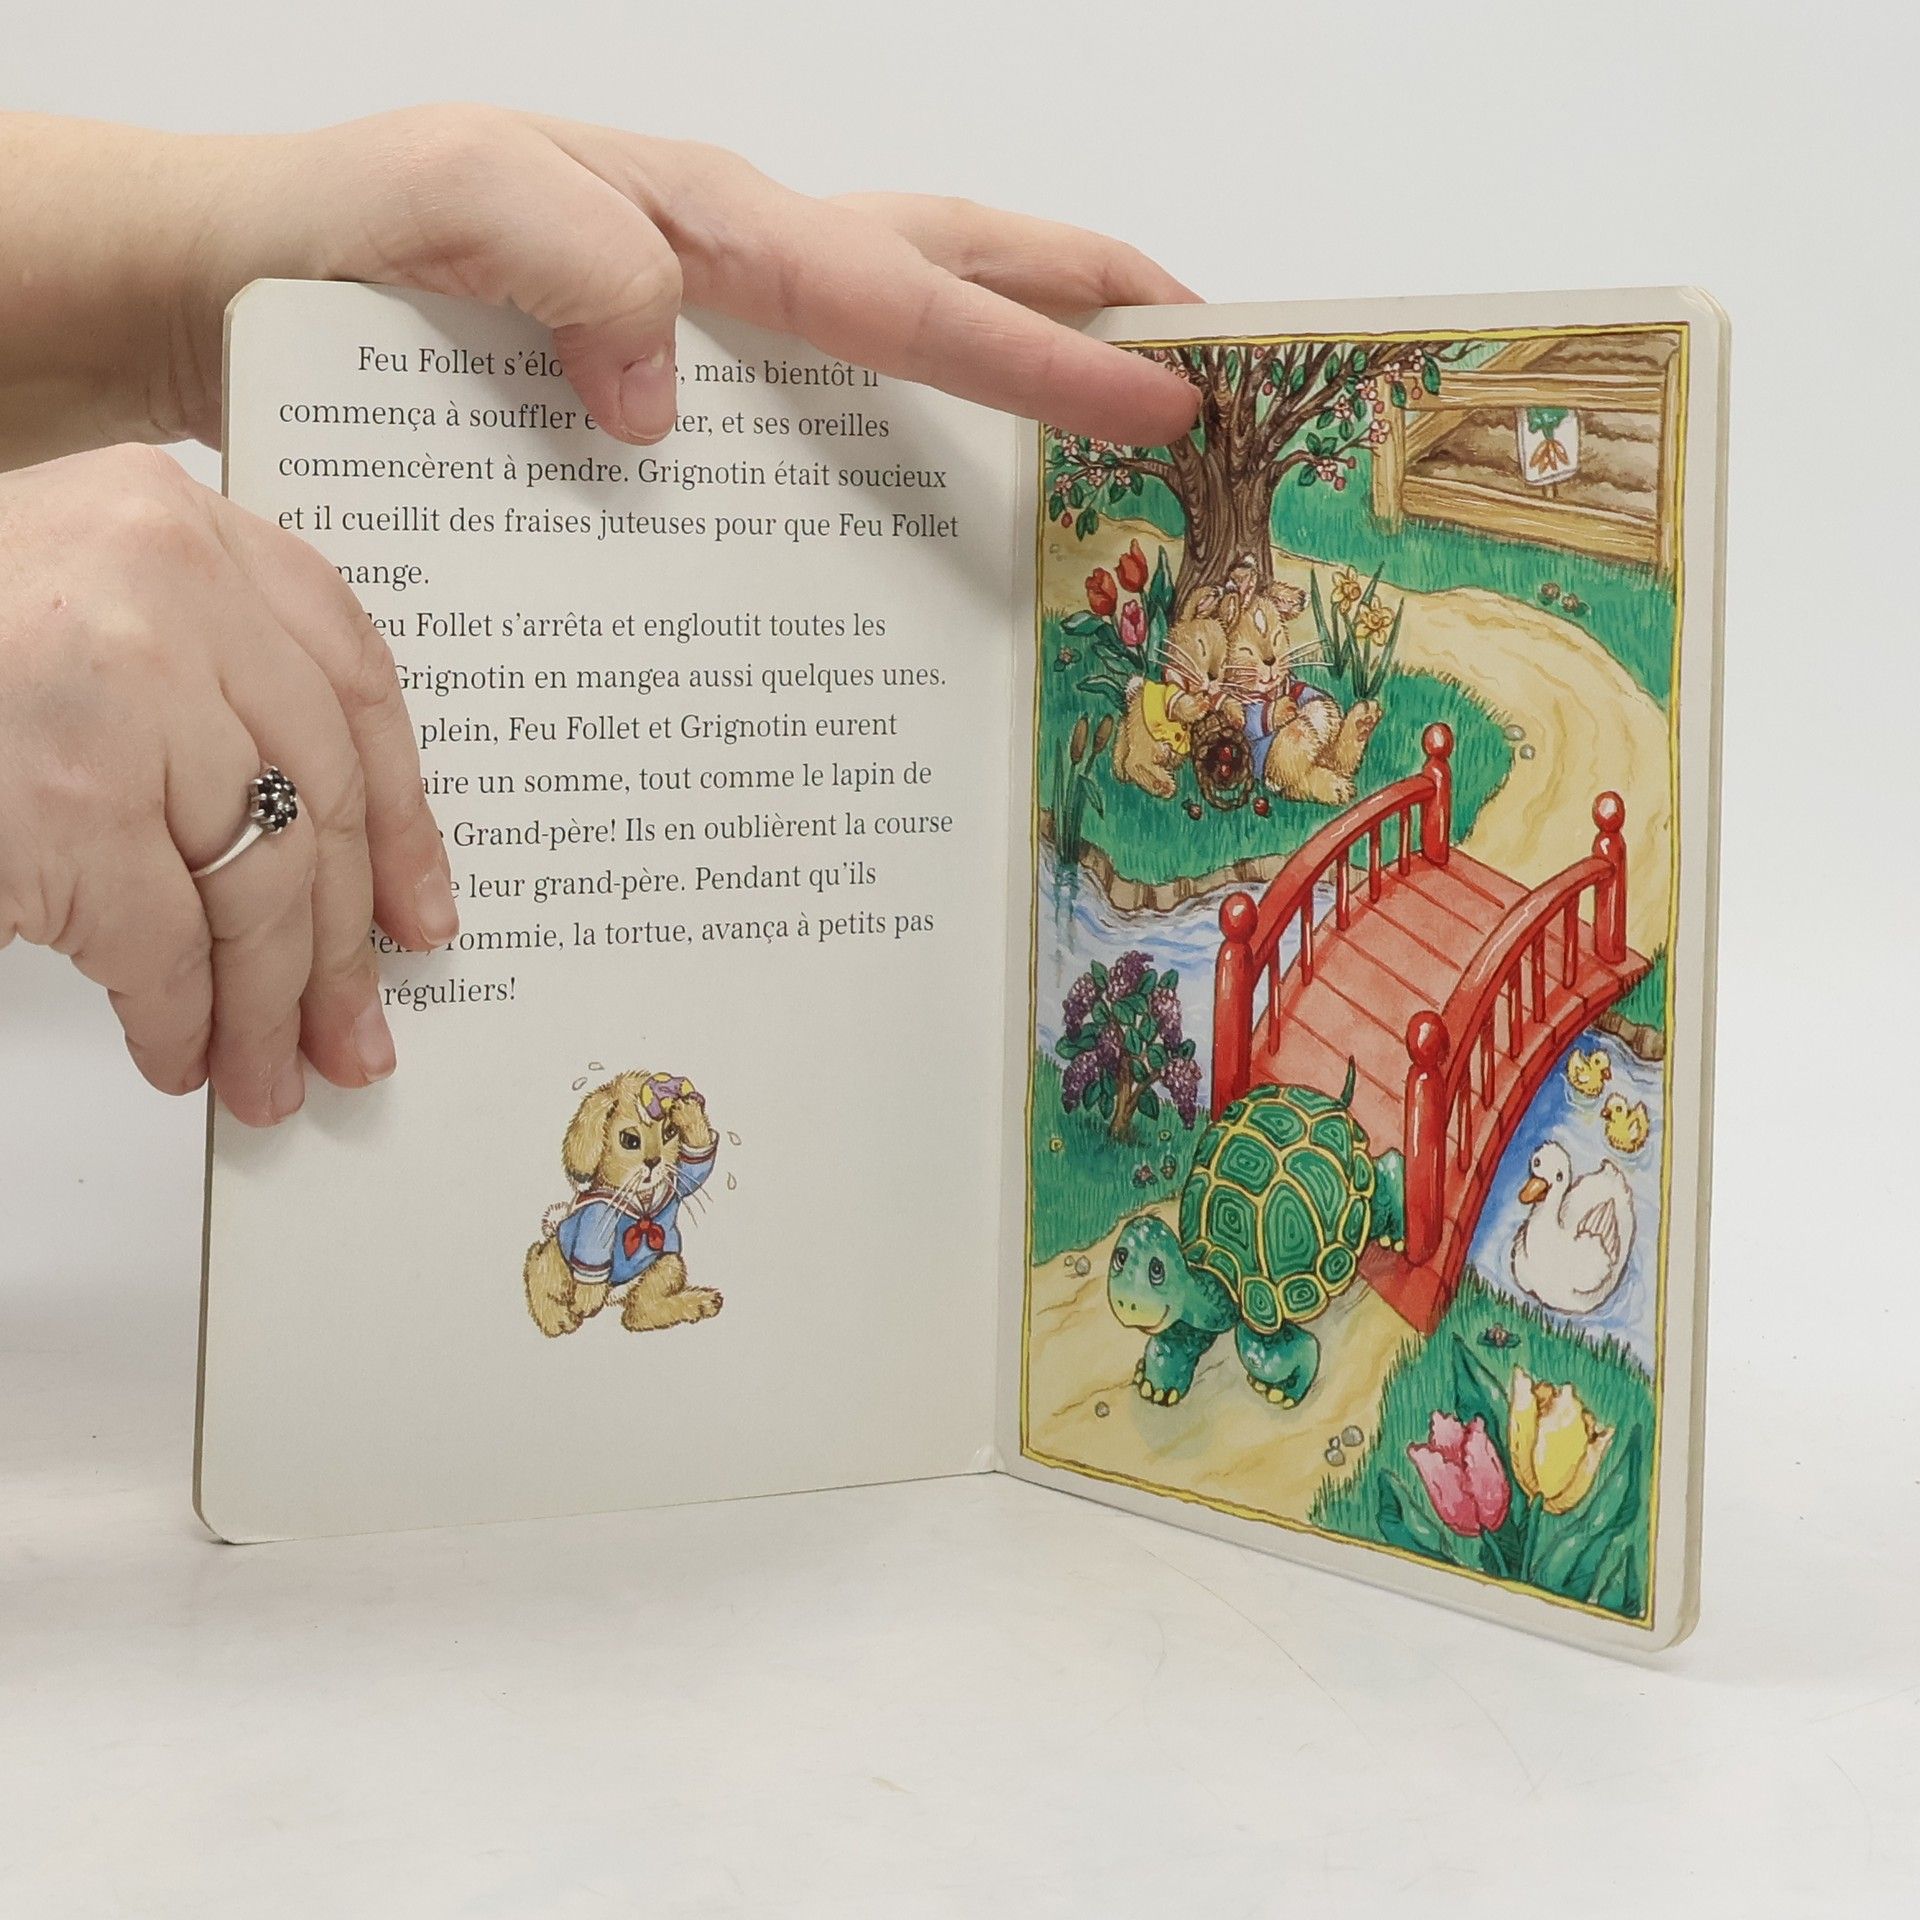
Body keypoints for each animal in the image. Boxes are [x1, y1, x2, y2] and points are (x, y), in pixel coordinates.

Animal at [523, 1070, 723, 1338]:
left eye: (670, 1133)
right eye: (630, 1140)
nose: (653, 1161)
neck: (640, 1194)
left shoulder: (676, 1182)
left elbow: (696, 1168)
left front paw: (690, 1111)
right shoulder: (595, 1223)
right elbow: (592, 1257)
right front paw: (585, 1301)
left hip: (666, 1263)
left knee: (639, 1313)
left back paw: (700, 1302)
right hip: (556, 1259)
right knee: (537, 1264)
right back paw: (558, 1318)